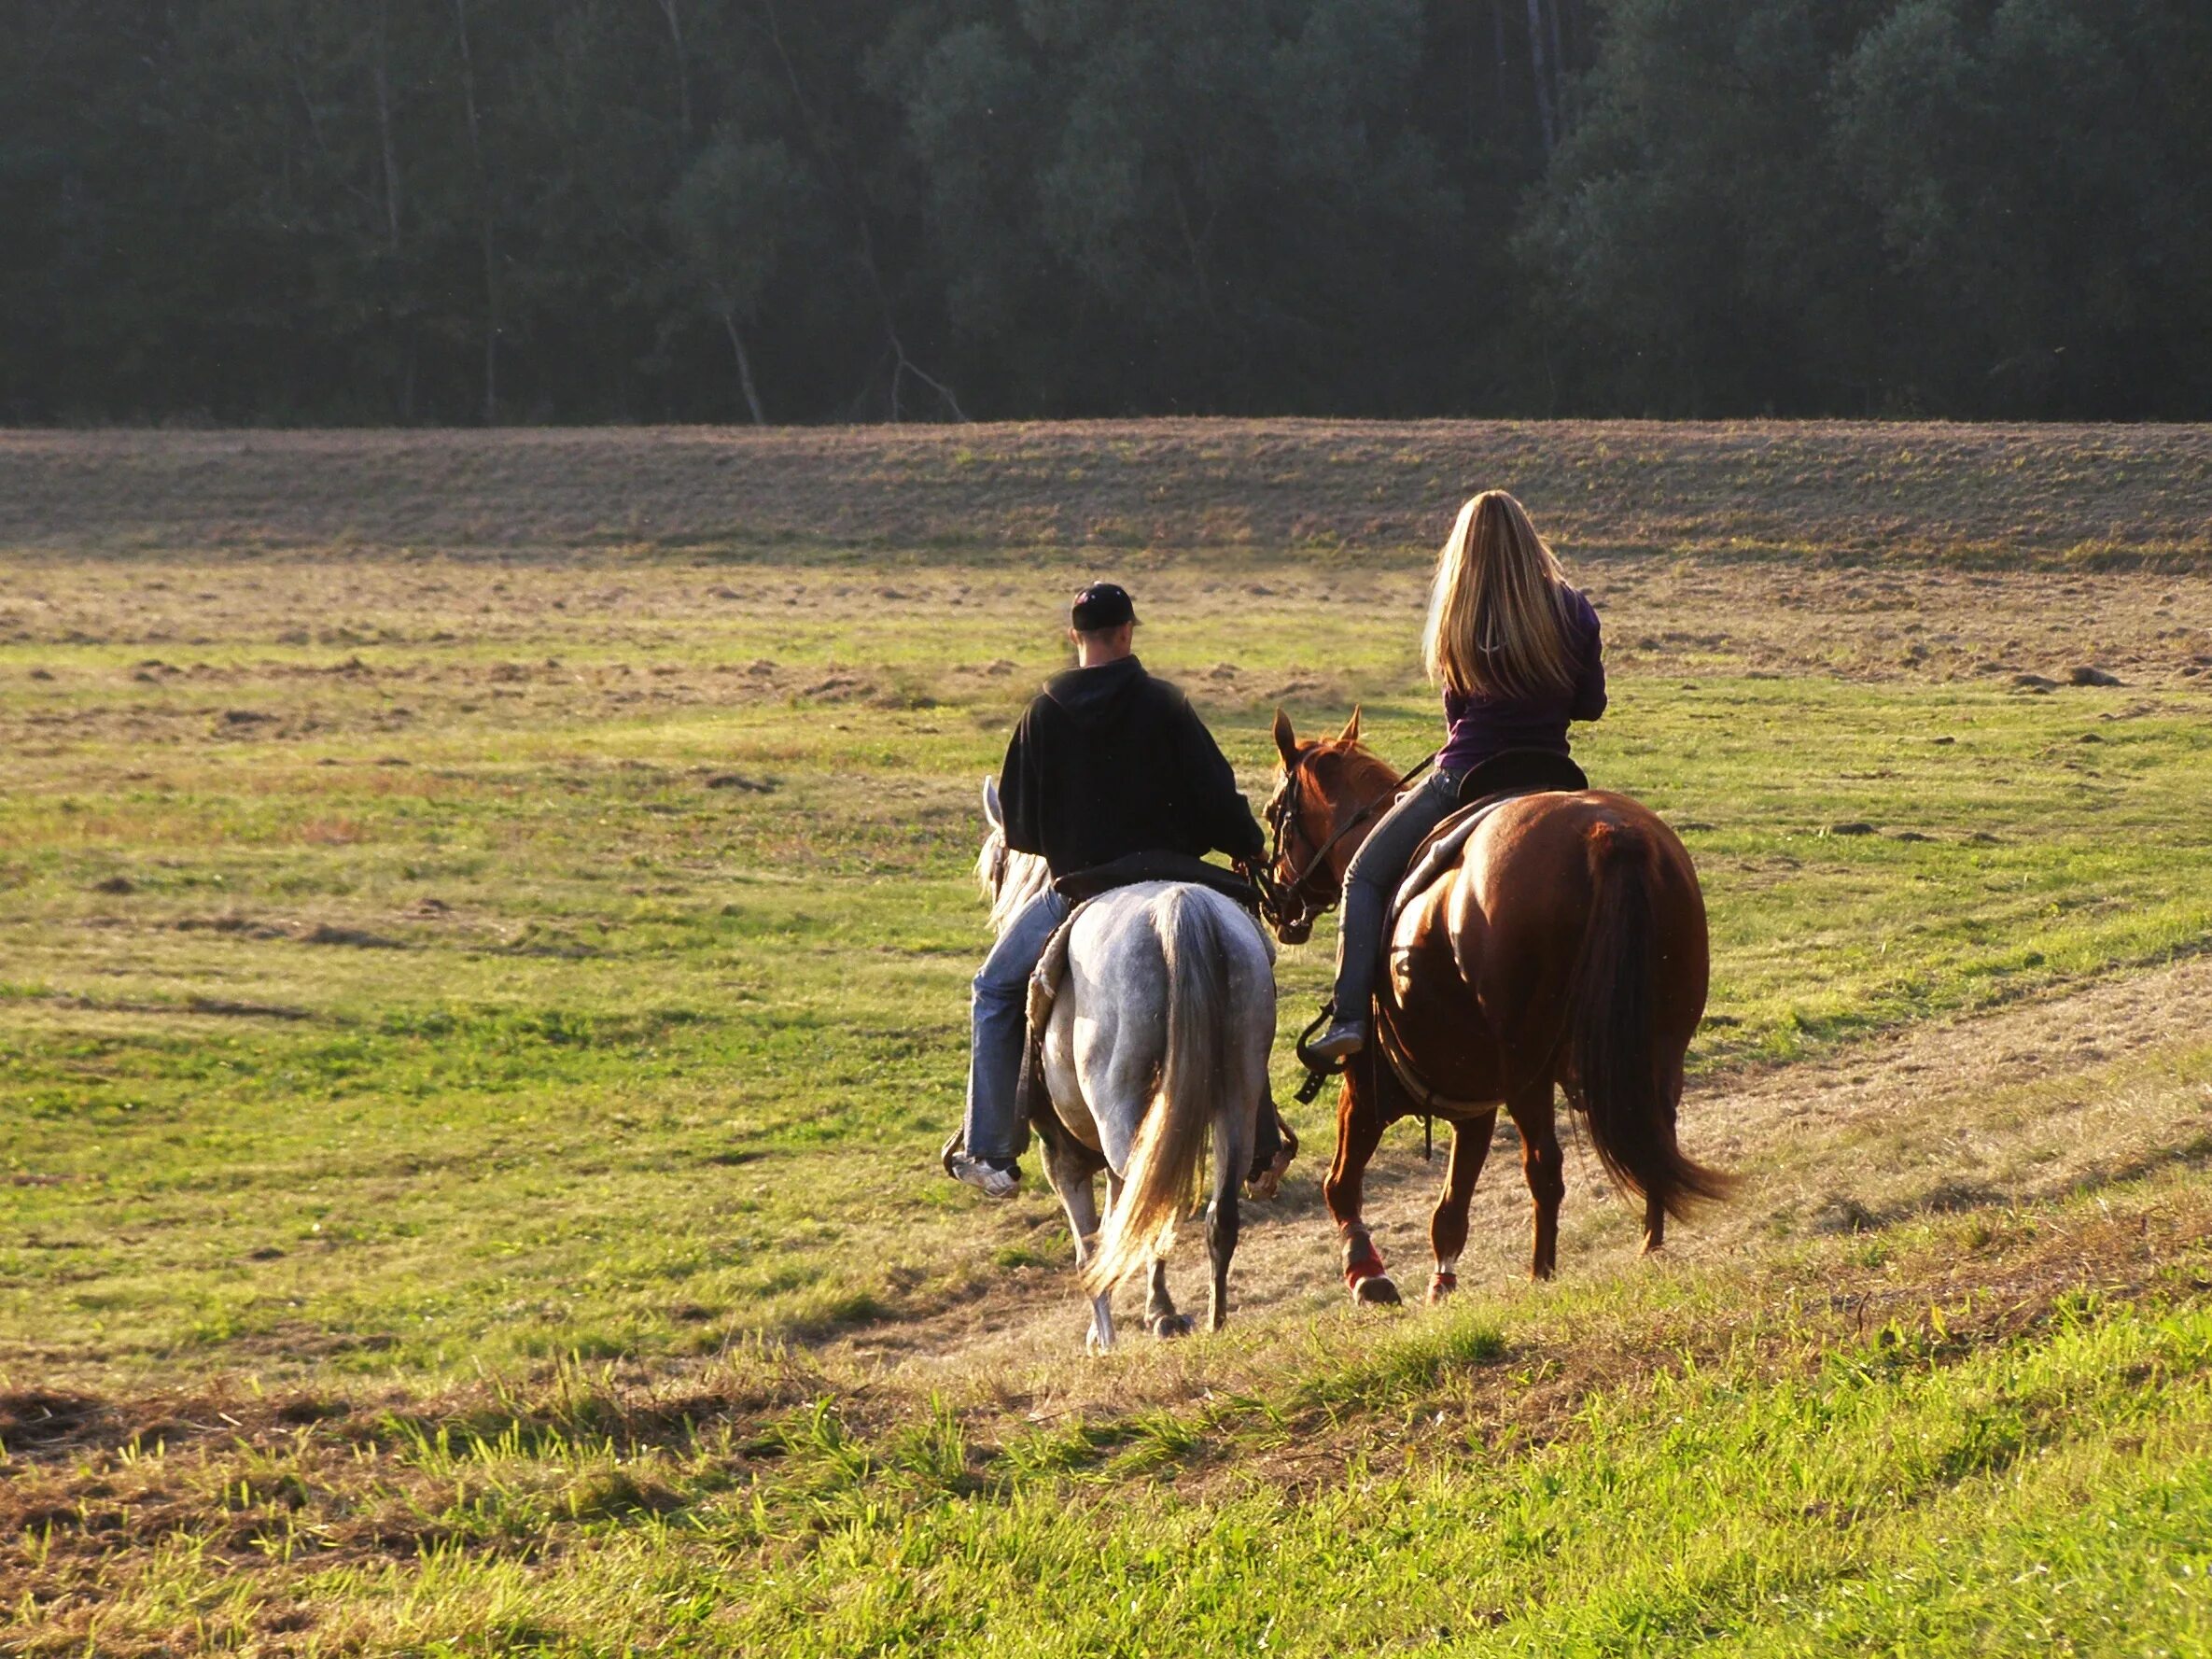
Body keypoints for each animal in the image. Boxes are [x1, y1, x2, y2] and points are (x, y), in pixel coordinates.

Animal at [973, 787, 1274, 1354]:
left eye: (997, 868)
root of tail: (1181, 908)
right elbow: (1115, 1226)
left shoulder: (1061, 1156)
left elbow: (1090, 1243)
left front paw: (1103, 1335)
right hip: (1237, 1097)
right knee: (1213, 1212)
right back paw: (1214, 1319)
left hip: (1123, 1117)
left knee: (1150, 1202)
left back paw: (1163, 1315)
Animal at [1265, 708, 1725, 1309]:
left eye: (1272, 812)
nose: (1276, 901)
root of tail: (1608, 834)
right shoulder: (1471, 1102)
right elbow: (1450, 1211)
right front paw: (1440, 1286)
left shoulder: (1366, 1090)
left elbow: (1340, 1186)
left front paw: (1368, 1274)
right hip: (1660, 1046)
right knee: (1653, 1137)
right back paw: (1650, 1246)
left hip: (1528, 1070)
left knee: (1545, 1167)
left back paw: (1541, 1274)